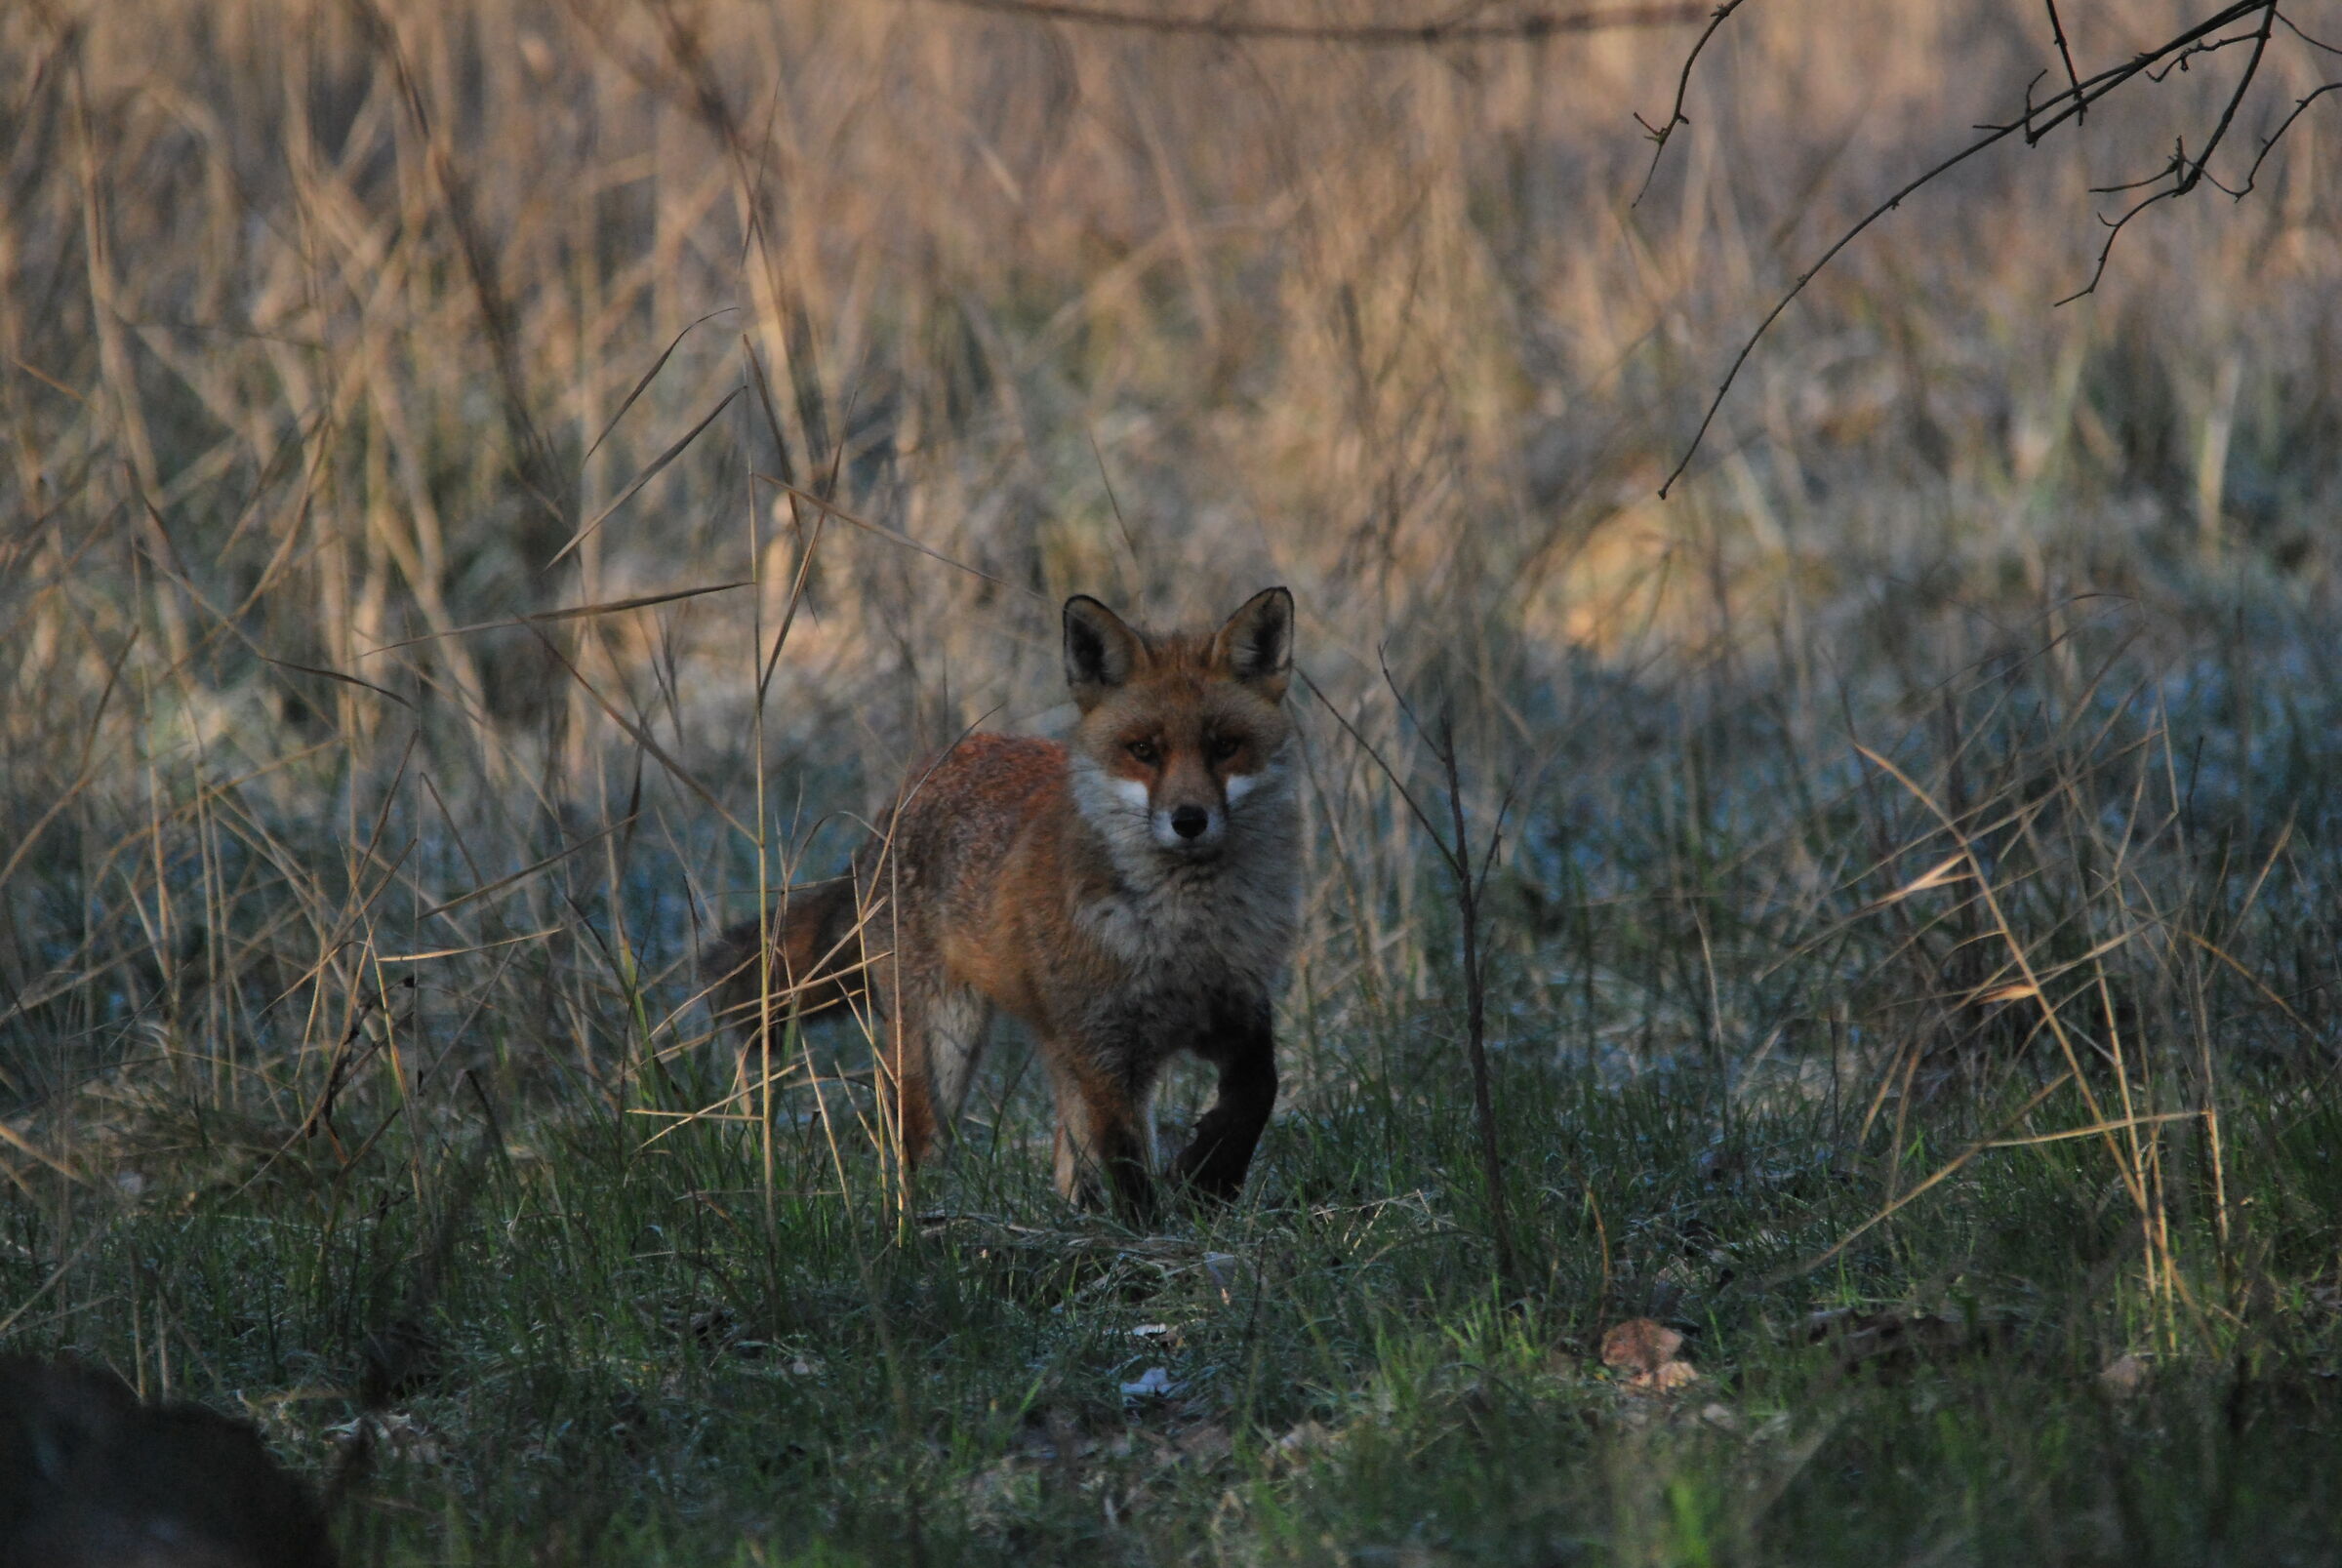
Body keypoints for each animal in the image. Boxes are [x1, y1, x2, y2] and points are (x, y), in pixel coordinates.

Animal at [702, 587, 1300, 1223]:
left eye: (1225, 747)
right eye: (1143, 751)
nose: (1189, 820)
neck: (1184, 936)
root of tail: (906, 790)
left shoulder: (1235, 1007)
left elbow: (1258, 1091)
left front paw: (1210, 1175)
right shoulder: (1104, 1047)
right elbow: (1127, 1158)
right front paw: (1153, 1228)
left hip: (1049, 1047)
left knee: (1066, 1157)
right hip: (942, 1046)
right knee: (918, 1151)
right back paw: (919, 1224)